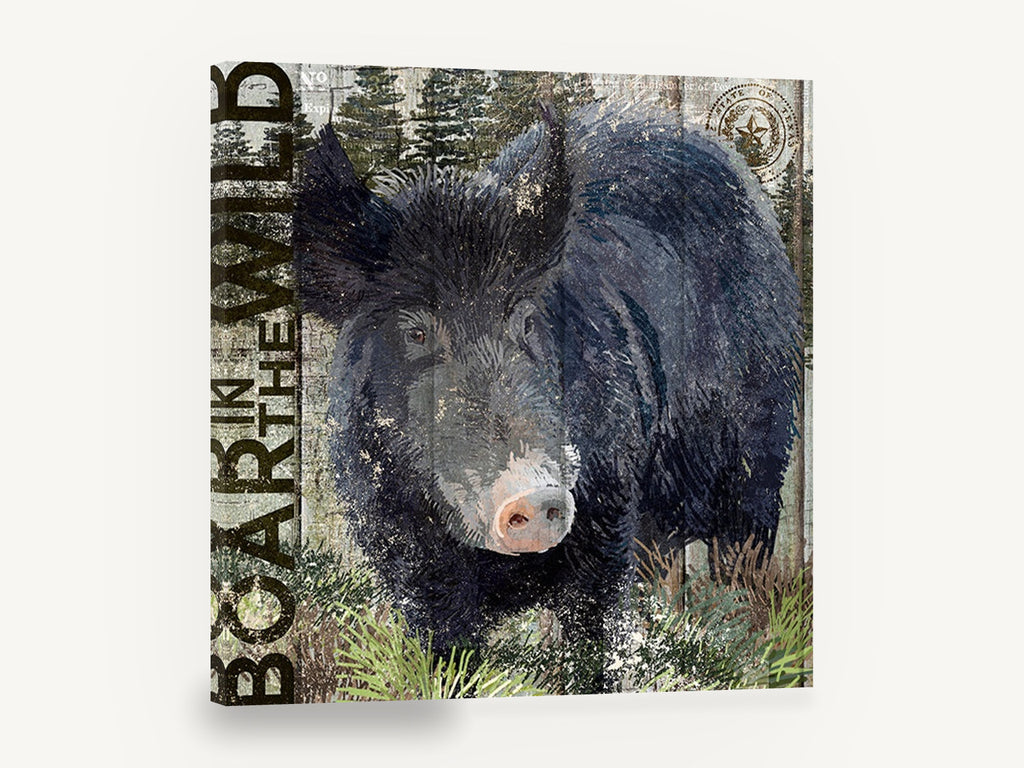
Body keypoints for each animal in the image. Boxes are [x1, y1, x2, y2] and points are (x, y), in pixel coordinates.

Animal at [294, 101, 802, 672]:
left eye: (526, 320)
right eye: (416, 331)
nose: (535, 494)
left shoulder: (608, 510)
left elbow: (596, 631)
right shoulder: (400, 543)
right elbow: (445, 646)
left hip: (761, 449)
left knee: (740, 560)